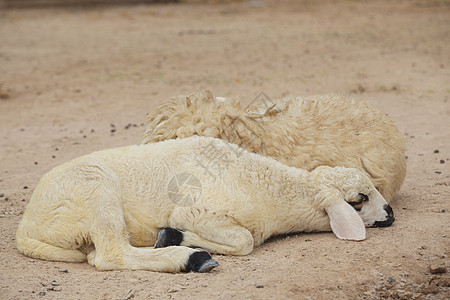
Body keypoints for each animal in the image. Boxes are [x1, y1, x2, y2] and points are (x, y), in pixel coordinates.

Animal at [15, 137, 394, 274]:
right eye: (359, 200)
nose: (390, 214)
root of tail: (27, 227)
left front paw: (172, 236)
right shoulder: (195, 211)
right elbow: (245, 241)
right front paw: (174, 237)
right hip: (95, 188)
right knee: (109, 255)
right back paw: (191, 258)